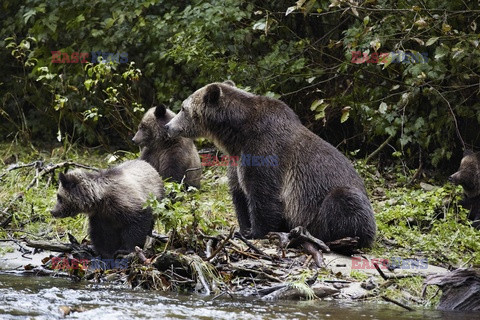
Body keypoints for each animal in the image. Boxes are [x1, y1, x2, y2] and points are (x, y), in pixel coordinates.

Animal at [163, 81, 376, 249]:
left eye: (183, 108)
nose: (168, 127)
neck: (236, 134)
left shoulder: (264, 149)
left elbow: (263, 193)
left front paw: (255, 231)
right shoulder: (237, 158)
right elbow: (239, 193)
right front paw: (243, 228)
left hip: (331, 201)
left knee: (345, 201)